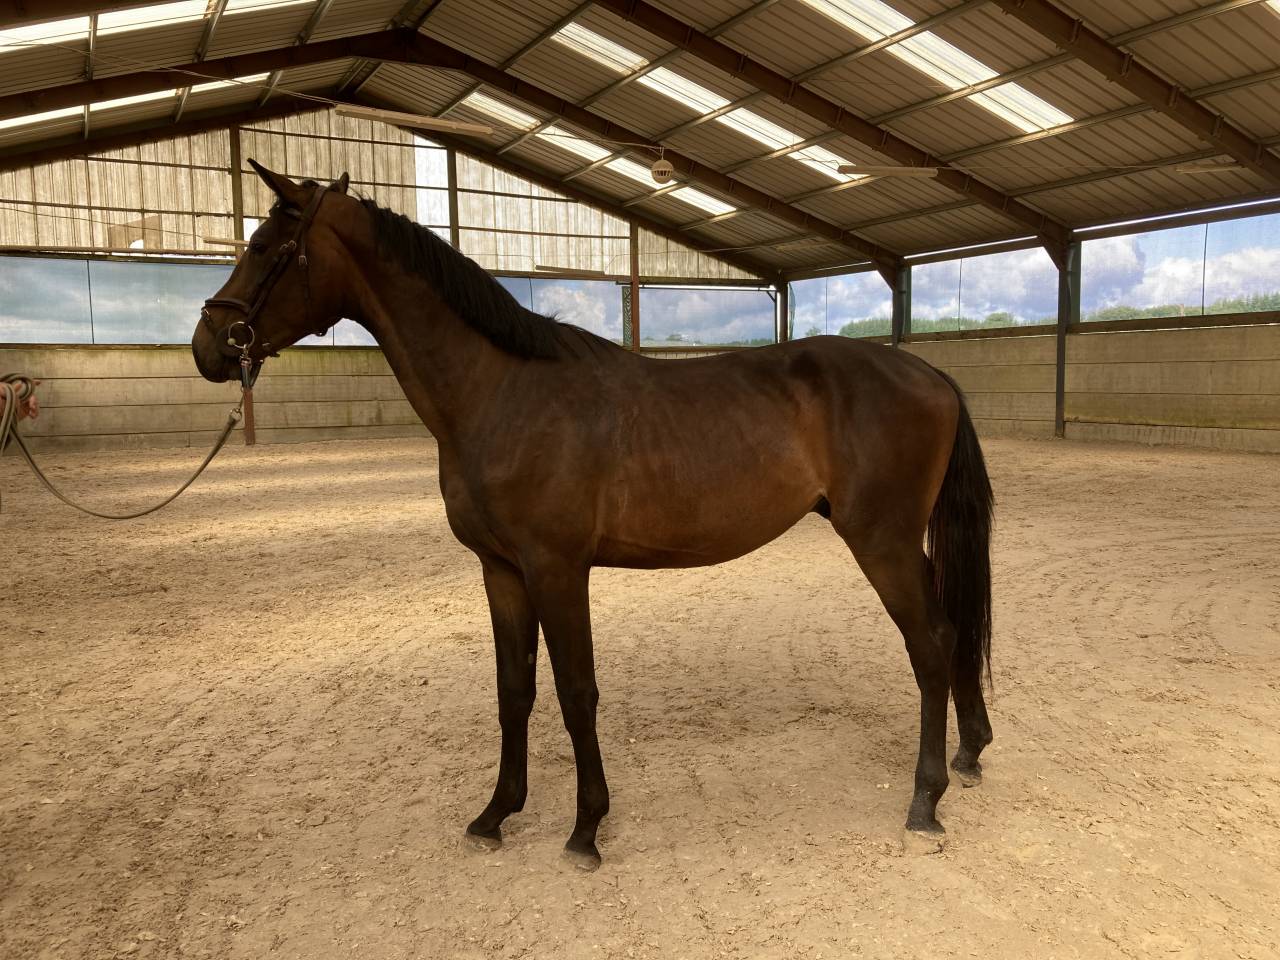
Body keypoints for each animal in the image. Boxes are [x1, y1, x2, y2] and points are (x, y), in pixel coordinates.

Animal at [192, 161, 995, 869]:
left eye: (267, 249)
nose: (210, 346)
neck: (501, 392)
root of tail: (928, 373)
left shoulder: (558, 568)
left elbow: (577, 693)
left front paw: (585, 830)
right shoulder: (502, 571)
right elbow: (514, 690)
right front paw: (496, 814)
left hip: (883, 543)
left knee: (929, 644)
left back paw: (925, 803)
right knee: (952, 633)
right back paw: (969, 751)